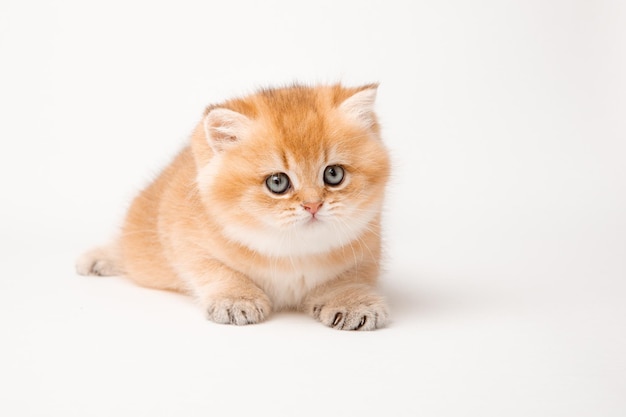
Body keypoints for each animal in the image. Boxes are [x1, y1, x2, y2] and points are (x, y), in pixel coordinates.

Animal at [77, 83, 390, 330]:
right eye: (277, 182)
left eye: (333, 174)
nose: (313, 205)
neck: (292, 252)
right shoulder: (186, 239)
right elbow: (216, 270)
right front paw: (236, 298)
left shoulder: (365, 249)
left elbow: (345, 278)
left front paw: (353, 301)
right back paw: (98, 258)